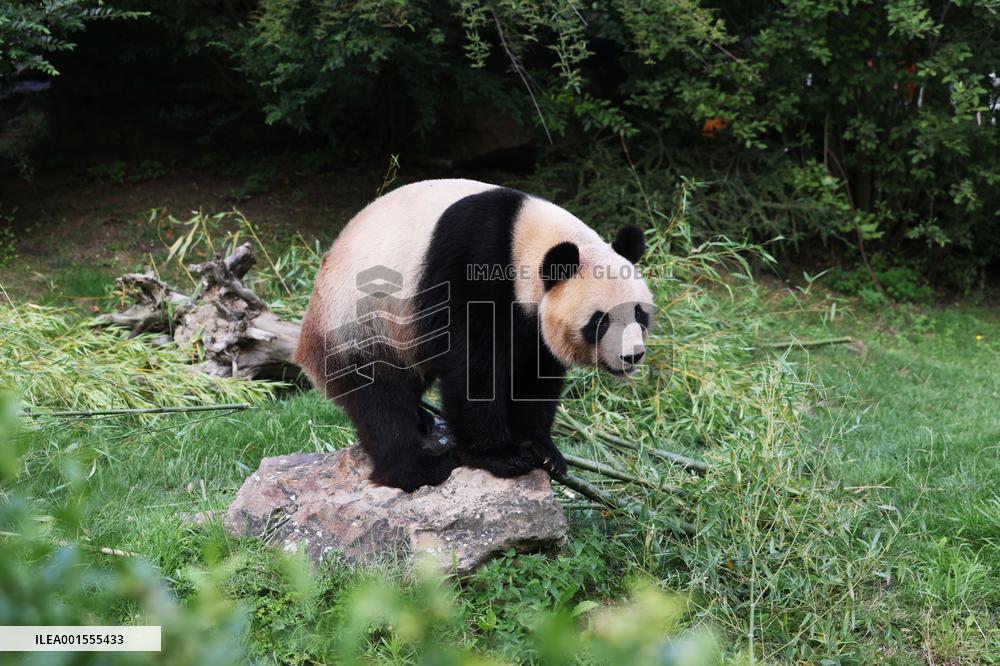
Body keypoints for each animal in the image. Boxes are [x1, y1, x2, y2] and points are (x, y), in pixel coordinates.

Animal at [294, 179, 653, 492]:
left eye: (639, 313)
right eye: (600, 321)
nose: (631, 355)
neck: (525, 238)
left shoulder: (532, 322)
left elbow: (534, 375)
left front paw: (542, 450)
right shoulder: (472, 263)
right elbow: (473, 365)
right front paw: (501, 456)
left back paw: (424, 420)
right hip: (358, 326)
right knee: (380, 401)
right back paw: (420, 468)